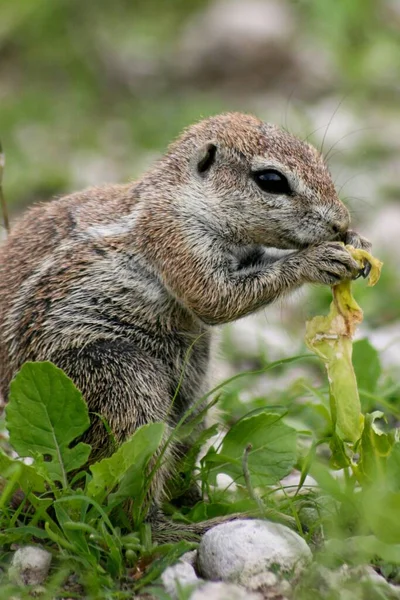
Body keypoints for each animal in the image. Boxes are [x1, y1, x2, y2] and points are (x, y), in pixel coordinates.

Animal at [0, 112, 370, 520]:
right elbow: (214, 298)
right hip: (118, 381)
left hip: (195, 396)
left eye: (316, 157)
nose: (340, 223)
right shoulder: (174, 238)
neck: (183, 198)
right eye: (271, 180)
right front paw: (318, 259)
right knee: (121, 497)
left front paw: (356, 241)